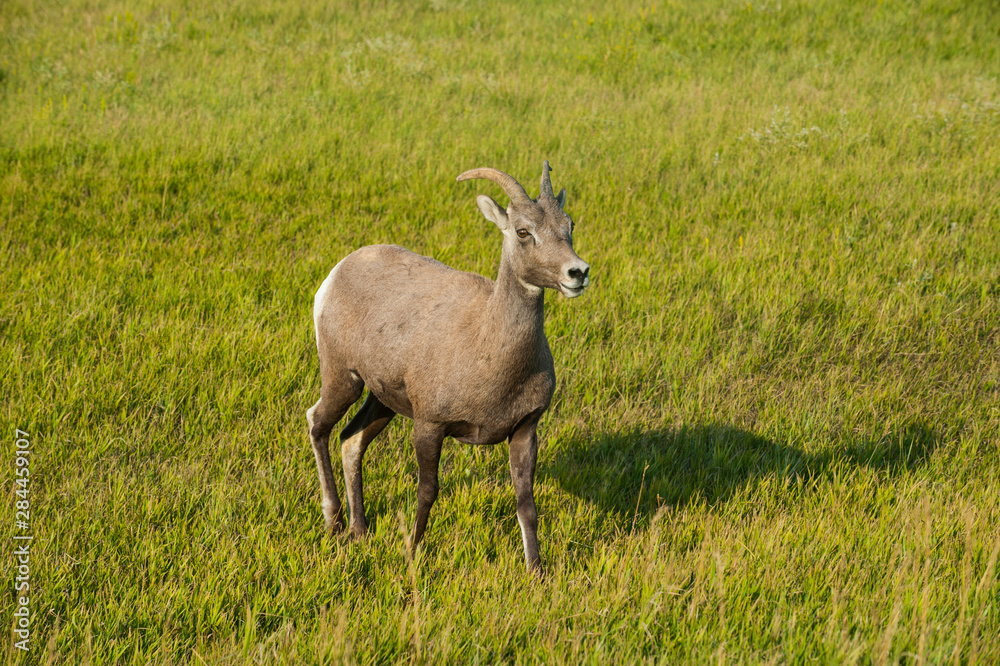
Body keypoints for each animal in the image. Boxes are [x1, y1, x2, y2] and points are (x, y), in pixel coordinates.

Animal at [306, 161, 589, 572]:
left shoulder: (525, 430)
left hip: (383, 400)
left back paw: (360, 530)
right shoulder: (429, 427)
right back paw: (335, 523)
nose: (578, 273)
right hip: (344, 378)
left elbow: (526, 505)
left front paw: (536, 572)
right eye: (523, 231)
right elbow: (428, 491)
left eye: (569, 224)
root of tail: (338, 272)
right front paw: (411, 553)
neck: (487, 350)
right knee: (317, 424)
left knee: (351, 441)